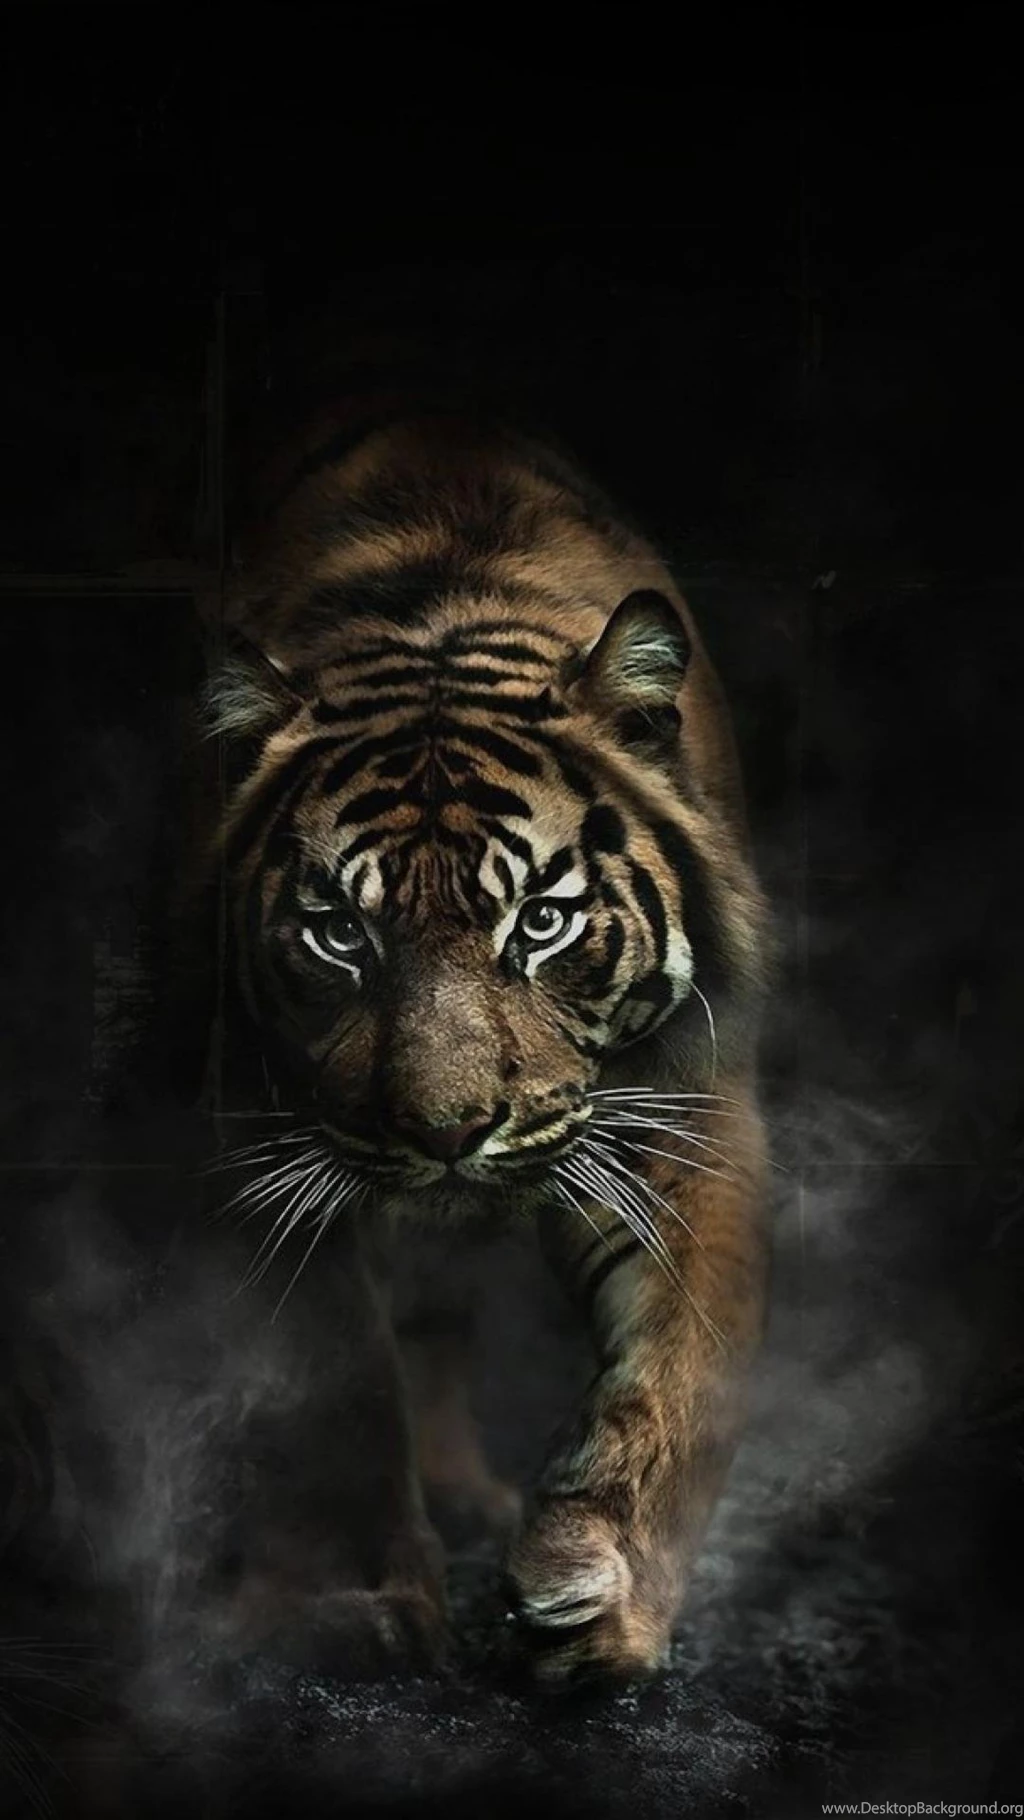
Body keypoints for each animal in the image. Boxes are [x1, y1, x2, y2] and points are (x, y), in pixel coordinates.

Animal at [196, 371, 772, 1687]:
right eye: (338, 935)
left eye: (542, 920)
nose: (448, 1131)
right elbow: (343, 1378)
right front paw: (365, 1600)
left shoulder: (687, 1103)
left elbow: (681, 1363)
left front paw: (599, 1592)